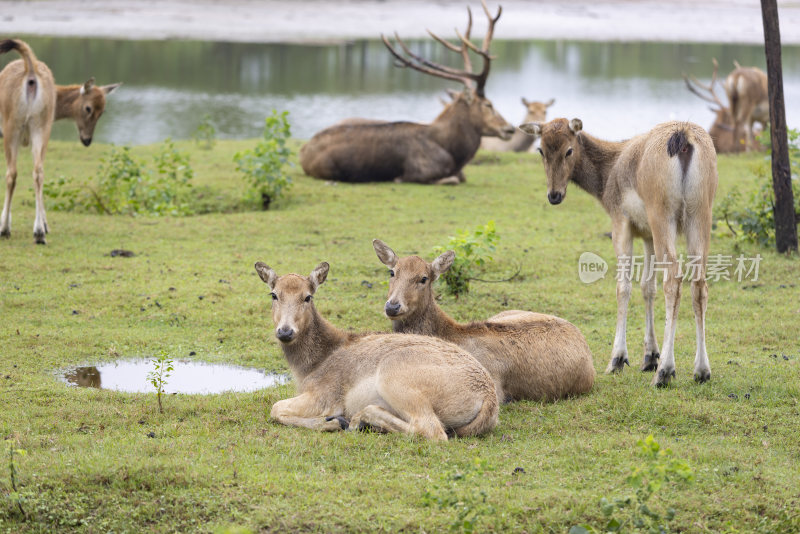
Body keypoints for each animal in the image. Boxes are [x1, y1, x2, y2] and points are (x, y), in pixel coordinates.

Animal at [0, 38, 119, 245]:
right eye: (88, 108)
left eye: (102, 111)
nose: (87, 140)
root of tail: (30, 72)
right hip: (37, 127)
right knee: (36, 171)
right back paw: (38, 232)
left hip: (17, 127)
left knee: (16, 173)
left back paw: (12, 230)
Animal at [255, 262, 500, 442]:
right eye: (274, 295)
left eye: (307, 296)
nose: (285, 331)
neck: (311, 366)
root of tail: (489, 400)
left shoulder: (325, 396)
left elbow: (275, 408)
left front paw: (332, 422)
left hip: (395, 376)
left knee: (432, 430)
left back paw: (358, 420)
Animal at [296, 0, 516, 186]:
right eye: (488, 104)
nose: (510, 128)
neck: (452, 153)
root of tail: (302, 151)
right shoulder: (419, 173)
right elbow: (452, 179)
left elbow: (461, 177)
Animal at [520, 118, 720, 390]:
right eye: (541, 150)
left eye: (569, 150)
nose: (554, 195)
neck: (605, 180)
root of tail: (684, 137)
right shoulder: (646, 234)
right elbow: (647, 287)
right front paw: (649, 357)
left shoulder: (620, 221)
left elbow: (623, 287)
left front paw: (618, 359)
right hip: (701, 211)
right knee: (699, 284)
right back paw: (701, 370)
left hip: (662, 212)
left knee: (673, 279)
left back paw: (665, 372)